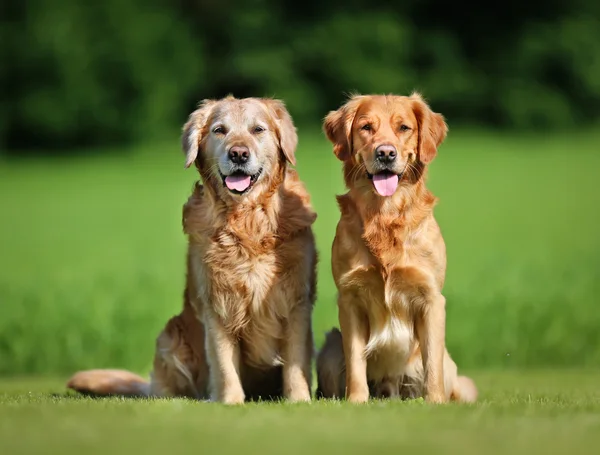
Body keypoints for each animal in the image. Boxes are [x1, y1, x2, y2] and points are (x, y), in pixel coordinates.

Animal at [66, 97, 318, 406]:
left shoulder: (296, 302)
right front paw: (230, 401)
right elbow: (223, 363)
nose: (238, 154)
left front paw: (299, 400)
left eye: (258, 129)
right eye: (219, 130)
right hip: (169, 338)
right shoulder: (217, 304)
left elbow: (296, 362)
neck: (246, 221)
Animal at [314, 92, 478, 402]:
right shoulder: (350, 299)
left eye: (404, 128)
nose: (386, 153)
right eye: (366, 127)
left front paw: (435, 402)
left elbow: (432, 363)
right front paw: (356, 400)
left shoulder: (431, 299)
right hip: (329, 348)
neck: (385, 213)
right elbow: (356, 361)